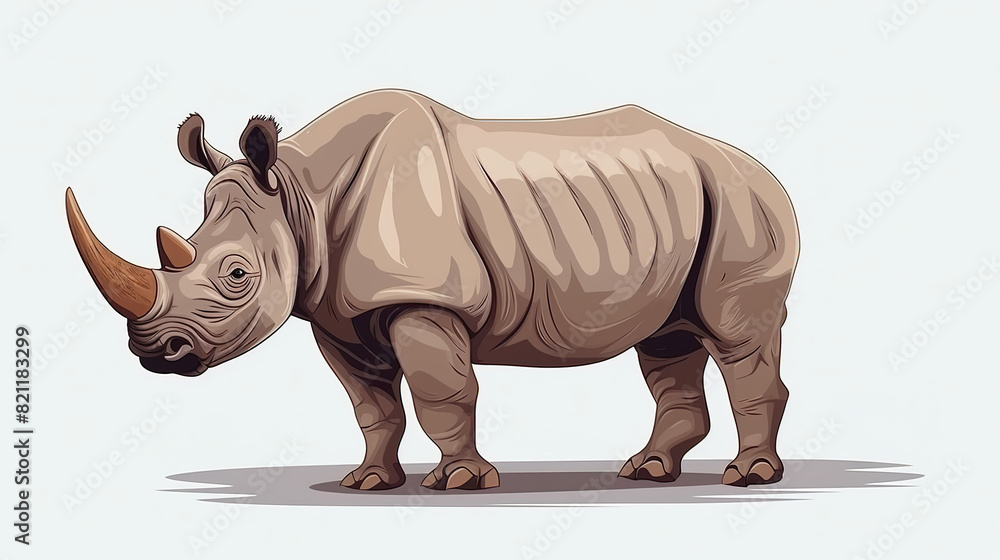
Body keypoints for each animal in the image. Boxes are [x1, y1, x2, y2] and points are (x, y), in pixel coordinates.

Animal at [66, 89, 798, 491]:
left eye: (237, 276)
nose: (156, 353)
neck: (302, 195)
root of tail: (761, 167)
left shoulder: (424, 297)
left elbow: (440, 392)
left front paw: (460, 483)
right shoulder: (336, 313)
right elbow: (372, 405)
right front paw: (367, 482)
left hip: (741, 200)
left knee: (737, 335)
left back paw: (748, 477)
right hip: (682, 205)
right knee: (668, 339)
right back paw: (646, 471)